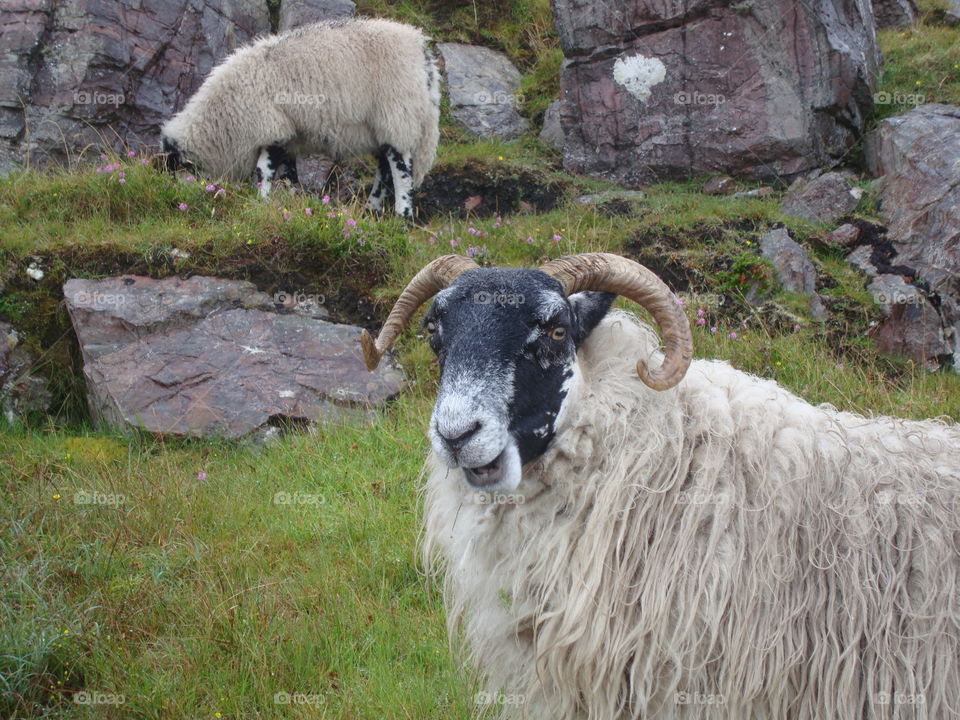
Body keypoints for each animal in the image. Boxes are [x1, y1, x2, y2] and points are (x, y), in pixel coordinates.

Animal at [160, 18, 441, 219]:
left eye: (173, 167)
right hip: (381, 127)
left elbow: (263, 170)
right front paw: (294, 204)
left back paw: (402, 216)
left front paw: (262, 202)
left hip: (398, 114)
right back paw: (370, 211)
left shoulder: (271, 126)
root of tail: (421, 50)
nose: (176, 200)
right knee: (384, 170)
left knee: (401, 169)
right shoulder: (288, 136)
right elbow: (288, 174)